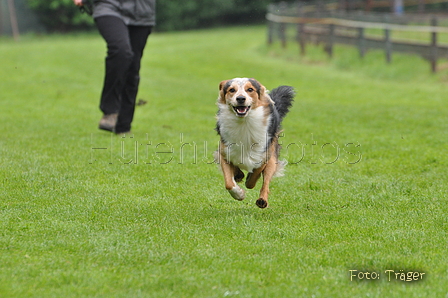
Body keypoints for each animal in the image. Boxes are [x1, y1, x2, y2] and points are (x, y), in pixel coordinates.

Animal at [216, 78, 296, 208]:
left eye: (250, 89)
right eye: (232, 90)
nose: (241, 98)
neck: (244, 122)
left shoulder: (263, 155)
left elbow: (253, 178)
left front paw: (249, 181)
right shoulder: (225, 151)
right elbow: (229, 183)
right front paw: (239, 194)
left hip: (272, 157)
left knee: (266, 182)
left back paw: (262, 200)